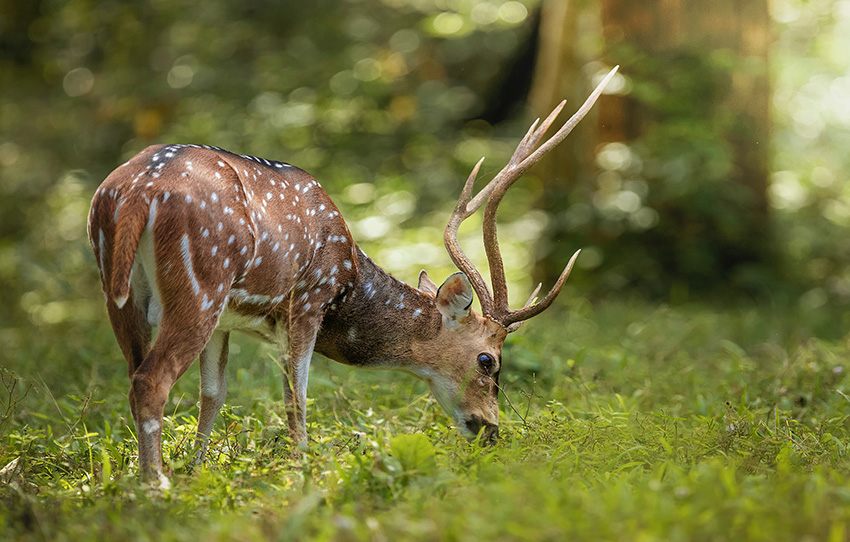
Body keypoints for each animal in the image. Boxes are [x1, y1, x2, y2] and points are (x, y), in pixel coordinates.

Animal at [86, 68, 616, 488]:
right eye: (489, 361)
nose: (490, 430)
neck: (349, 281)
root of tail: (135, 192)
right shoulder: (307, 299)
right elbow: (296, 397)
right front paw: (301, 472)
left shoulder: (229, 321)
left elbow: (213, 396)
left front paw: (198, 473)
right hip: (201, 283)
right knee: (150, 380)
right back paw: (155, 486)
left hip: (124, 293)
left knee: (135, 373)